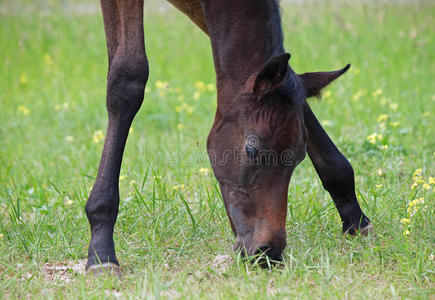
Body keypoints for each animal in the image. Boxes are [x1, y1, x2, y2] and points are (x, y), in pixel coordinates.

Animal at [86, 0, 374, 274]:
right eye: (252, 150)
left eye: (300, 155)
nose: (268, 251)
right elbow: (127, 79)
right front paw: (101, 249)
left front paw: (355, 218)